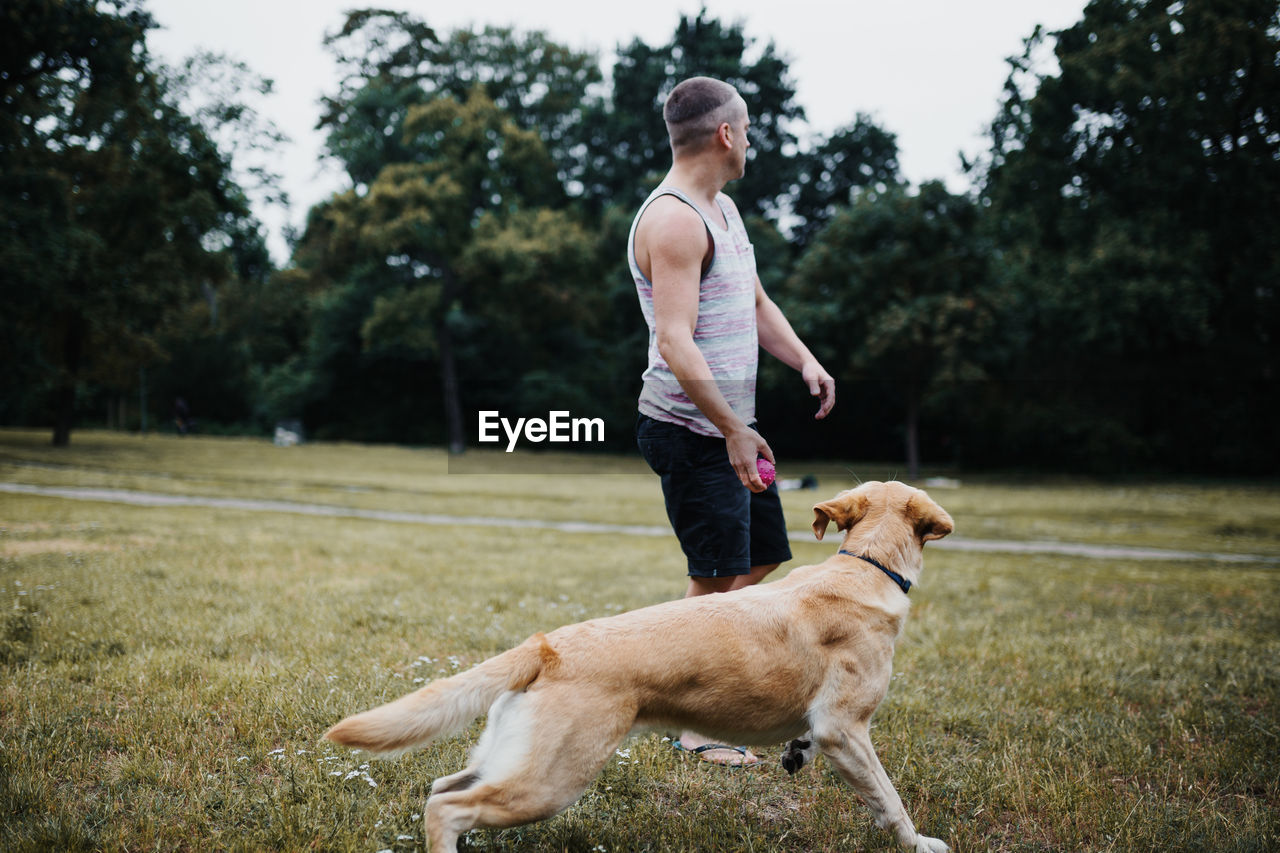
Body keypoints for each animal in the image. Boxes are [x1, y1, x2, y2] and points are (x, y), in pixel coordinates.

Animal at [325, 479, 957, 850]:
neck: (867, 564)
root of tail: (548, 644)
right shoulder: (846, 731)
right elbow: (889, 800)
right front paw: (918, 844)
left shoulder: (826, 731)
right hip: (552, 781)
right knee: (449, 809)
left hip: (512, 759)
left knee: (440, 788)